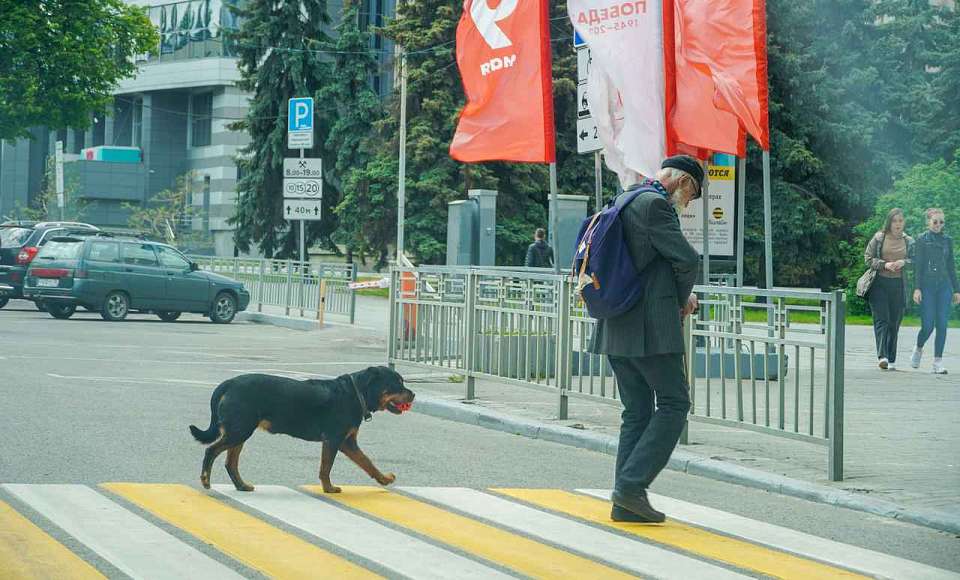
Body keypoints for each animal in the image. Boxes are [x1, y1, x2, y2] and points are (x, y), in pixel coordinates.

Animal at [188, 364, 412, 492]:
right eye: (398, 383)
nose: (413, 394)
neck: (356, 393)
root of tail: (228, 383)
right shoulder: (334, 440)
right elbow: (326, 467)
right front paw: (328, 488)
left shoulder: (348, 443)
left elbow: (367, 462)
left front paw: (384, 479)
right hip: (239, 431)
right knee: (211, 451)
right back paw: (206, 480)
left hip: (239, 432)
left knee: (230, 463)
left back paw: (241, 486)